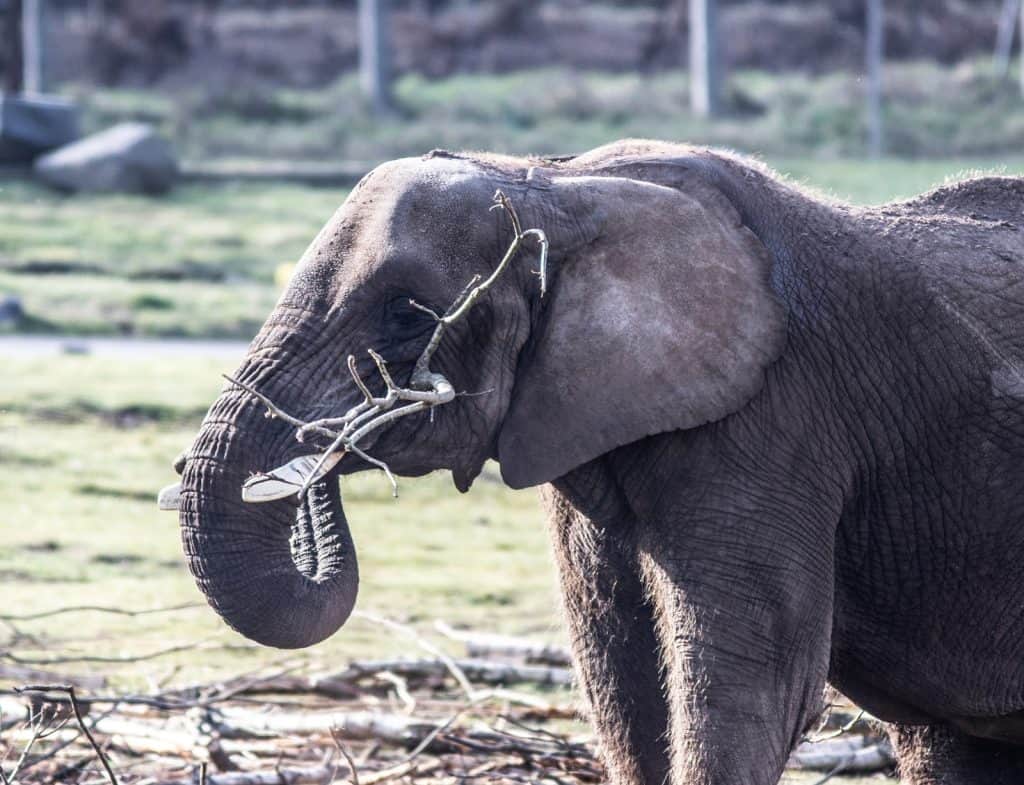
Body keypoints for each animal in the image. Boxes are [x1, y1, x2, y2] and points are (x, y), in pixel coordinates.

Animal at [167, 143, 1024, 785]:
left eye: (407, 314)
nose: (331, 450)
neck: (558, 187)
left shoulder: (778, 420)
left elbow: (753, 686)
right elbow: (623, 677)